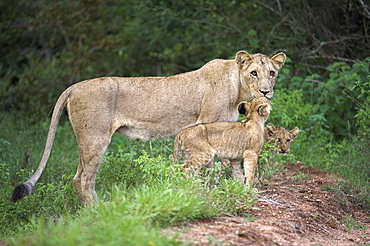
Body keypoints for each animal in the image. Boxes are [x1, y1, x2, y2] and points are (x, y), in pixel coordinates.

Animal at [10, 50, 284, 206]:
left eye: (271, 73)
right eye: (253, 73)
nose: (265, 92)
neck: (238, 87)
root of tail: (75, 86)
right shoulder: (206, 124)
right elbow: (211, 168)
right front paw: (207, 193)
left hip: (86, 140)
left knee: (79, 177)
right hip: (95, 138)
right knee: (83, 179)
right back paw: (97, 211)